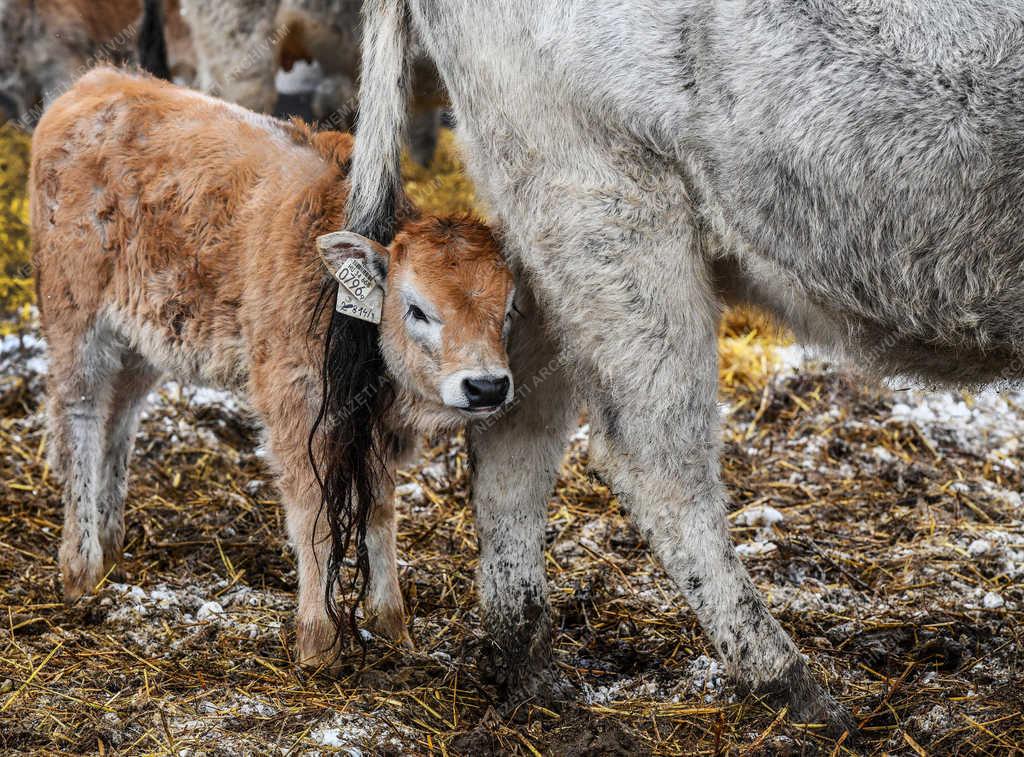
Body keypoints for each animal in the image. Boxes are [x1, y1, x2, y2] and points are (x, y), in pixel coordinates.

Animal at [30, 68, 516, 667]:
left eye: (509, 309)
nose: (486, 386)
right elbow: (313, 514)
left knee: (117, 419)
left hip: (141, 342)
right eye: (417, 309)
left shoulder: (373, 429)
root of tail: (96, 84)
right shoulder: (295, 412)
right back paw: (81, 570)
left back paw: (111, 546)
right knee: (79, 419)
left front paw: (393, 629)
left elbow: (379, 512)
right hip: (78, 325)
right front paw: (317, 642)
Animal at [344, 0, 1024, 737]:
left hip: (542, 248)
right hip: (608, 206)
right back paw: (796, 688)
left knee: (512, 436)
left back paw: (531, 675)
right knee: (656, 462)